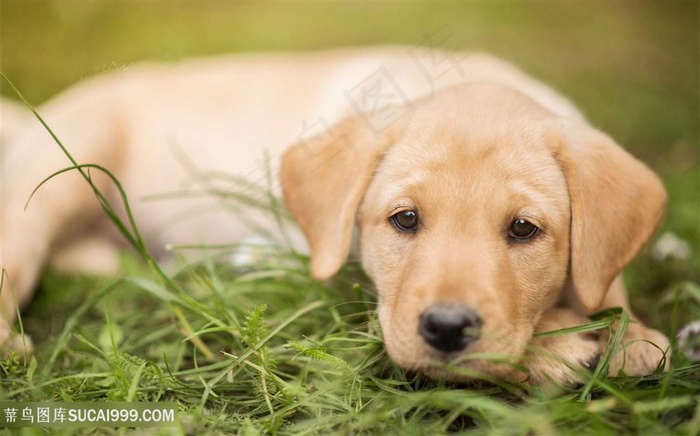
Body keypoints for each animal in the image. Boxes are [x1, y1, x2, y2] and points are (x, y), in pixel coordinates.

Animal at [0, 46, 668, 384]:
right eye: (404, 220)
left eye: (524, 229)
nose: (447, 329)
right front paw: (562, 348)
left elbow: (606, 276)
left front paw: (630, 335)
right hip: (61, 167)